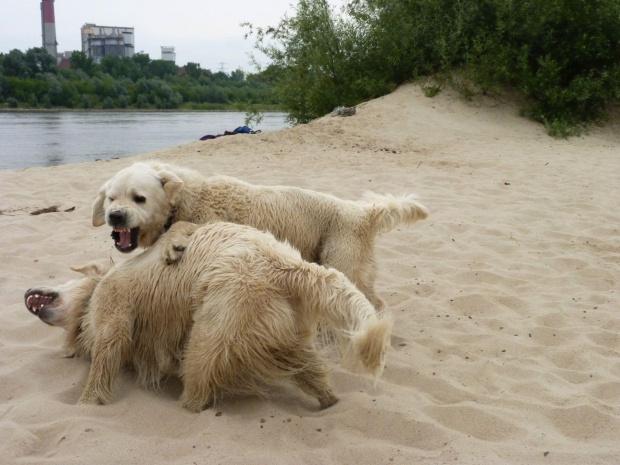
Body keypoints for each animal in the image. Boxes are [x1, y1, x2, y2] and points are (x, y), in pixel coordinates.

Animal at [25, 220, 392, 410]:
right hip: (286, 337)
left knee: (198, 389)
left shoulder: (111, 317)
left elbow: (100, 372)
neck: (92, 296)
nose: (25, 293)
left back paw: (185, 405)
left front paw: (87, 404)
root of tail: (286, 265)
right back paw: (329, 401)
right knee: (315, 374)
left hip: (209, 333)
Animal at [93, 160, 432, 308]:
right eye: (111, 198)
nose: (115, 216)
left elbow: (183, 228)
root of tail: (361, 213)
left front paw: (173, 243)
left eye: (139, 198)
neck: (189, 197)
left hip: (344, 261)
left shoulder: (213, 222)